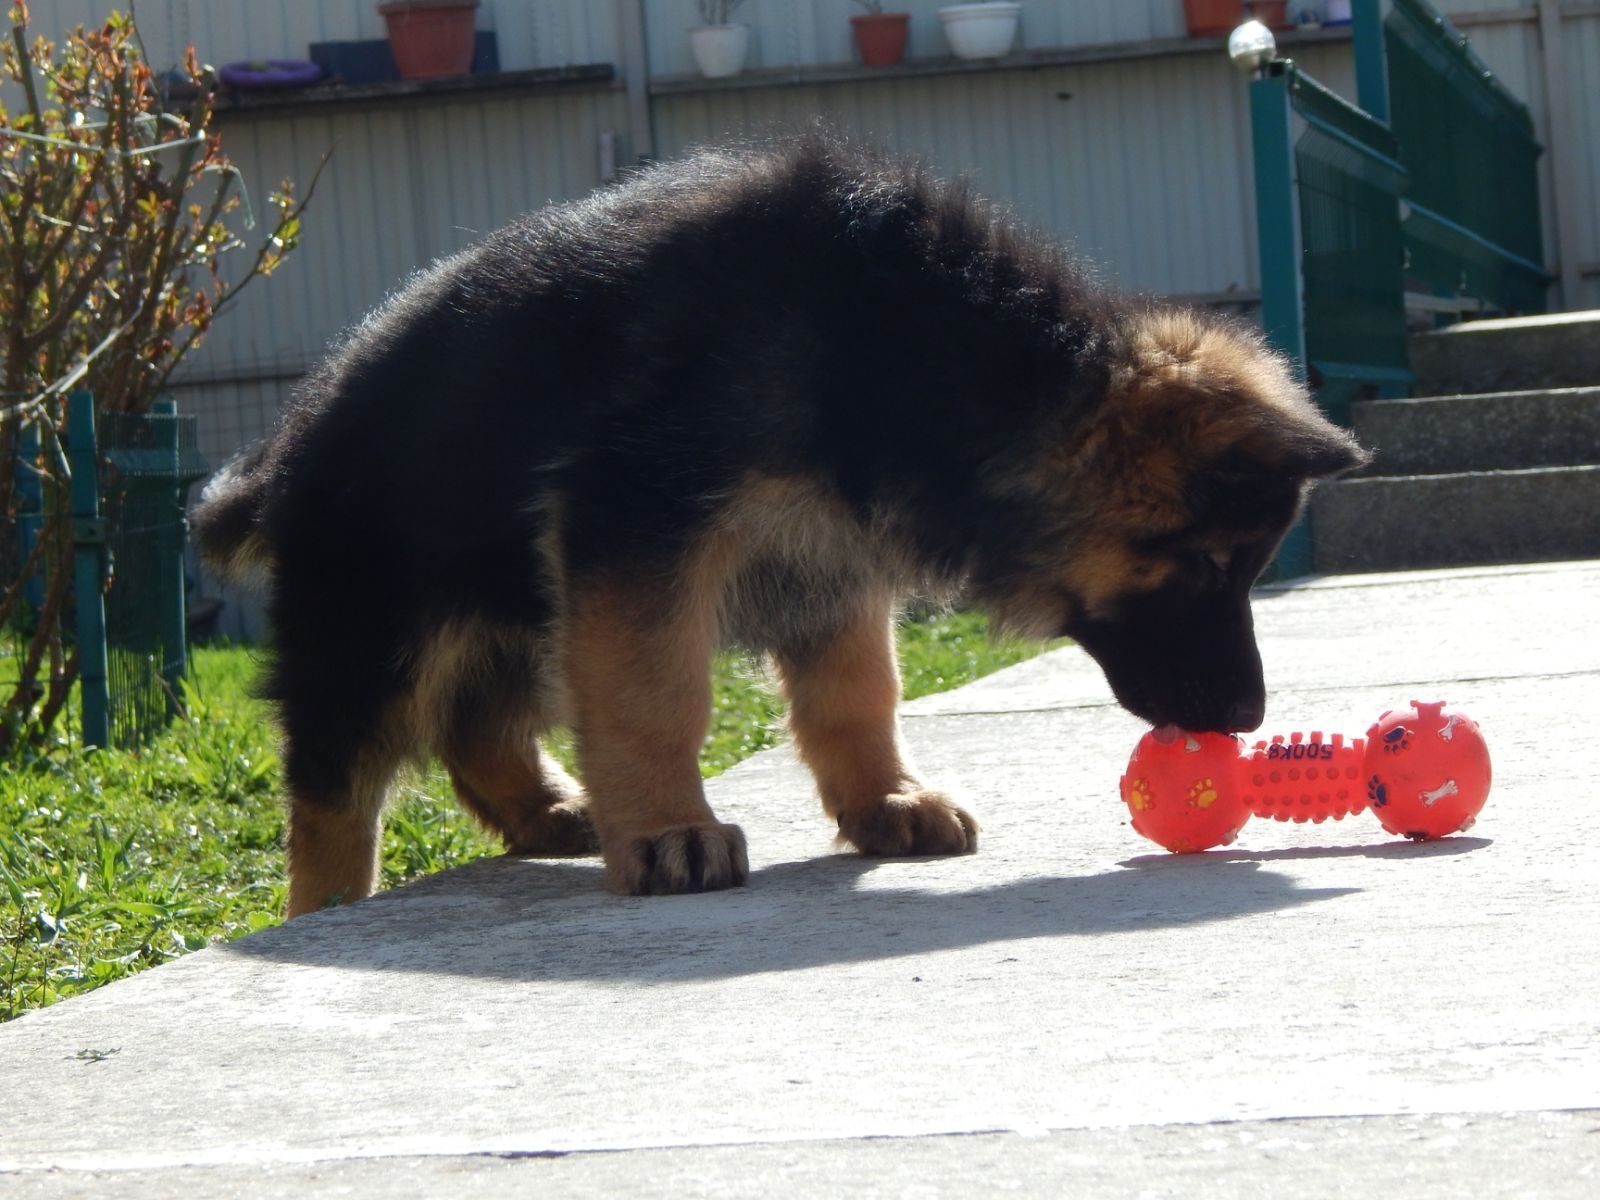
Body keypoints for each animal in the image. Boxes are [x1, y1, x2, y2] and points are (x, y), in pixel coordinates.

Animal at [190, 136, 1363, 915]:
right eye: (1207, 566)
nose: (1248, 719)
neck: (907, 344)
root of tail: (285, 443)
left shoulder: (828, 564)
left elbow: (858, 693)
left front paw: (886, 800)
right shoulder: (640, 525)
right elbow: (655, 694)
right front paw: (671, 830)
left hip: (515, 604)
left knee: (476, 724)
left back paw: (553, 811)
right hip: (379, 625)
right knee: (335, 781)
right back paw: (329, 903)